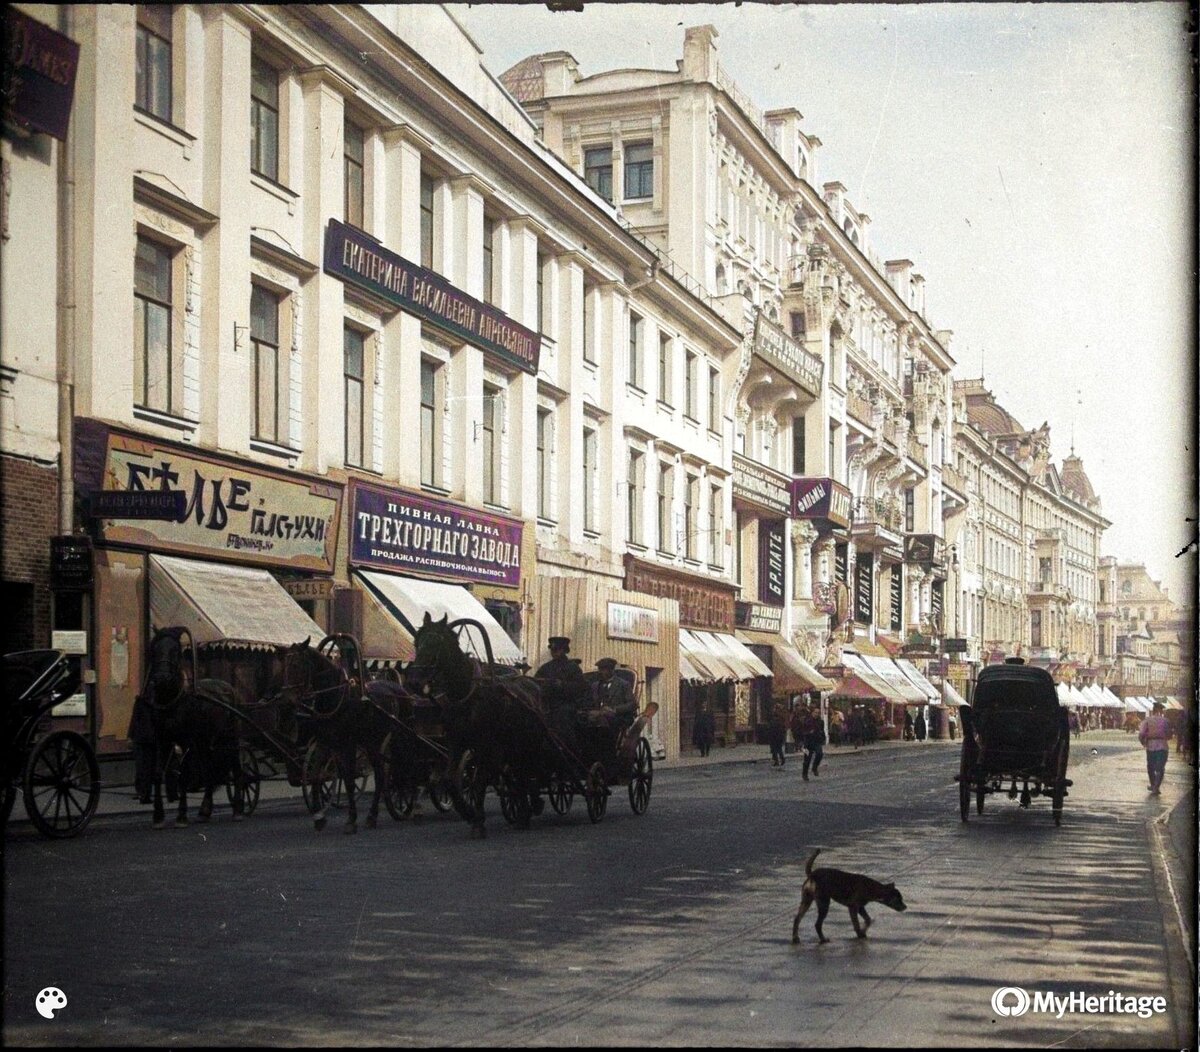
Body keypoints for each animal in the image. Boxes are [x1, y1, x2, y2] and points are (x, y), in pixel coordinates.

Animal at [405, 606, 549, 839]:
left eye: (437, 644)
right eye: (417, 642)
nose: (415, 681)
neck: (466, 694)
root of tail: (532, 685)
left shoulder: (485, 746)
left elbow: (479, 781)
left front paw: (478, 821)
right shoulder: (456, 742)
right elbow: (450, 779)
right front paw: (468, 812)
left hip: (529, 743)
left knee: (529, 771)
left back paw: (532, 805)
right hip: (511, 746)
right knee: (518, 775)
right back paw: (523, 813)